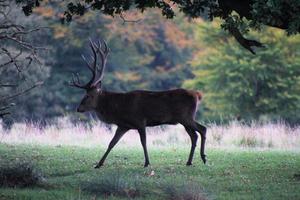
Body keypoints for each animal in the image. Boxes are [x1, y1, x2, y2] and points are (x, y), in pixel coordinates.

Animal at [69, 38, 207, 167]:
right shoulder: (123, 125)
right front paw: (99, 164)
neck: (118, 109)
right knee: (194, 135)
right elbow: (112, 143)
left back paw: (203, 157)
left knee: (202, 129)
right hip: (183, 119)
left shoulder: (140, 121)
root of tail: (197, 95)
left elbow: (143, 142)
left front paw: (147, 163)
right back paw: (189, 161)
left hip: (186, 116)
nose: (78, 108)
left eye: (88, 95)